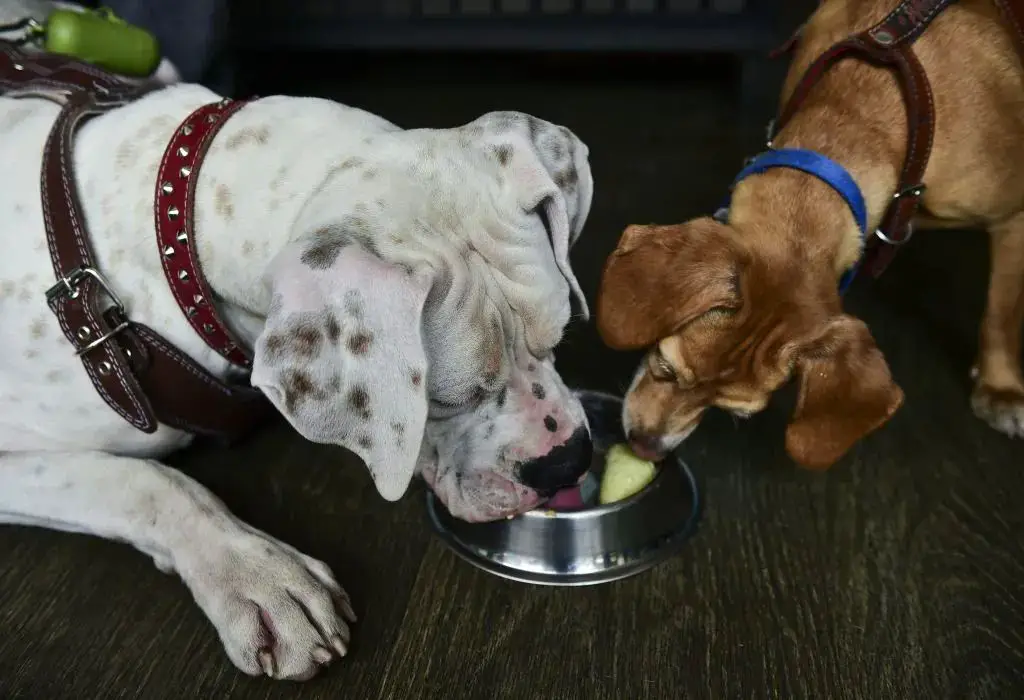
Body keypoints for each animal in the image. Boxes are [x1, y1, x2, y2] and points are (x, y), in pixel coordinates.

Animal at [598, 1, 1024, 470]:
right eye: (666, 367)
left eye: (734, 413)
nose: (645, 448)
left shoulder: (1012, 217)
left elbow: (1001, 313)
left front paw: (1001, 389)